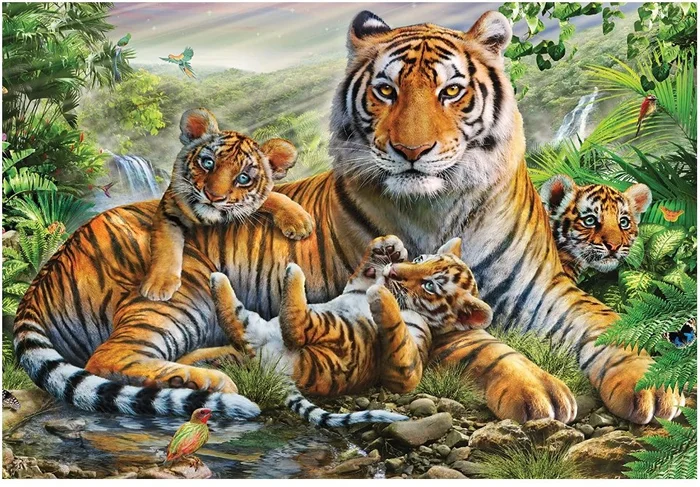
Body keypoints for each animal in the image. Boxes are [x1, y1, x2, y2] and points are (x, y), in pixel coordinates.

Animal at [140, 108, 314, 301]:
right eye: (208, 163)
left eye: (243, 178)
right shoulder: (169, 209)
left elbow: (272, 197)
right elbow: (166, 245)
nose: (213, 196)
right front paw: (159, 284)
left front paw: (299, 221)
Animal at [209, 235, 491, 426]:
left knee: (298, 327)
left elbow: (398, 335)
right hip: (257, 328)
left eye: (429, 286)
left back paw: (293, 272)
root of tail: (275, 370)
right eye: (421, 259)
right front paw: (389, 245)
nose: (393, 271)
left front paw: (381, 295)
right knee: (236, 325)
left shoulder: (407, 370)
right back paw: (218, 279)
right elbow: (363, 272)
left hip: (338, 334)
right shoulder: (356, 285)